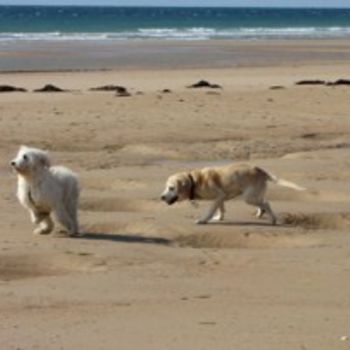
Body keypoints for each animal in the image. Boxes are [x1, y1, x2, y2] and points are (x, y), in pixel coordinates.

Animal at [160, 163, 304, 226]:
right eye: (166, 187)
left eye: (171, 188)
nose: (161, 197)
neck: (195, 181)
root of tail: (260, 170)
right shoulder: (221, 197)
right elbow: (221, 208)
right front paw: (219, 217)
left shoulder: (218, 196)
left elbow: (211, 210)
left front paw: (203, 220)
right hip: (254, 195)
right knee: (263, 203)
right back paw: (260, 213)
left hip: (248, 198)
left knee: (266, 203)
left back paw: (273, 219)